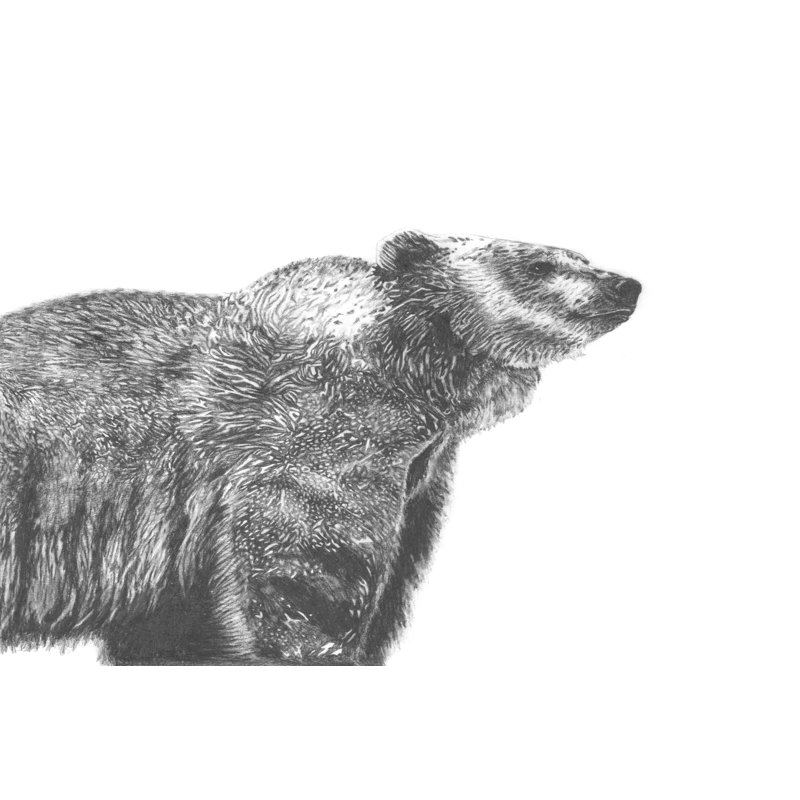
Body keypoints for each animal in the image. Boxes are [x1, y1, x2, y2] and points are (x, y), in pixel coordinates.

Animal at [0, 231, 641, 665]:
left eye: (581, 254)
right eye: (537, 262)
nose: (626, 283)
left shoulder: (420, 471)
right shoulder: (322, 433)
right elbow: (309, 571)